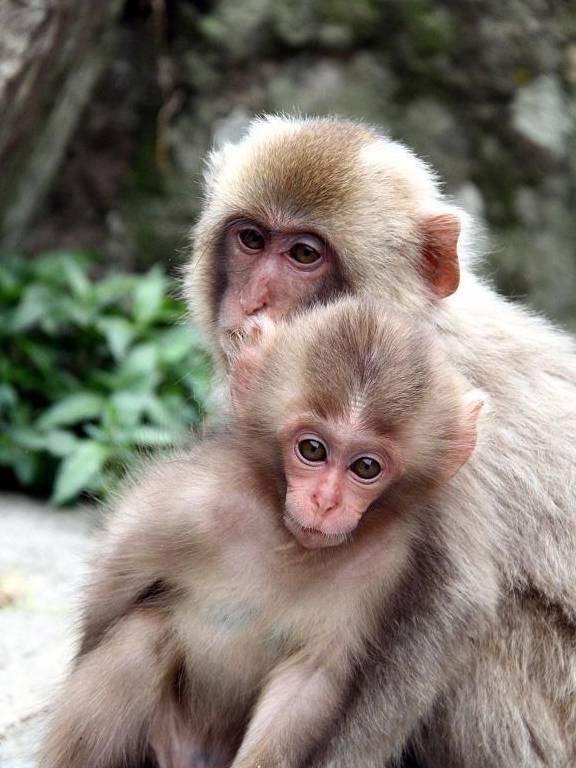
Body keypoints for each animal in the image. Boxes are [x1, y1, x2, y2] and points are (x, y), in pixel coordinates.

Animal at [39, 298, 490, 768]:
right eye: (312, 449)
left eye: (366, 467)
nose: (325, 501)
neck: (286, 540)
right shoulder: (188, 503)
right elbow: (108, 596)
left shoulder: (383, 562)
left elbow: (310, 677)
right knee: (142, 635)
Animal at [186, 117, 576, 764]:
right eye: (251, 239)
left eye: (304, 254)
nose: (252, 302)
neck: (396, 326)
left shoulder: (447, 424)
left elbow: (451, 609)